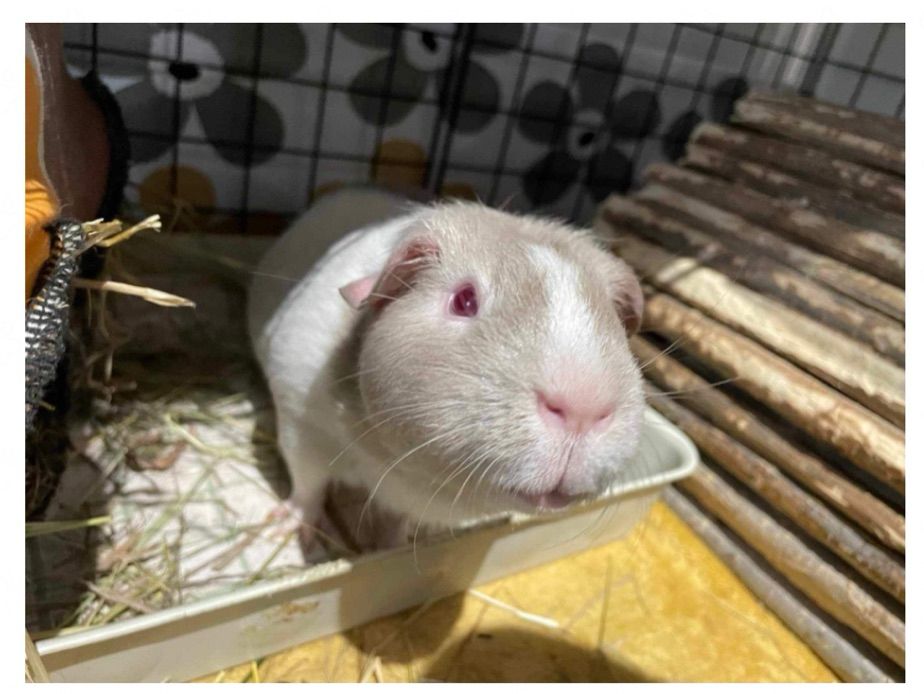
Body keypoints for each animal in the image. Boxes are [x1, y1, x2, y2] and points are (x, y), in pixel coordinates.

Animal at [248, 188, 645, 548]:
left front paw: (393, 547)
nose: (584, 407)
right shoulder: (301, 423)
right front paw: (286, 530)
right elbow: (308, 486)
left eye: (611, 320)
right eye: (464, 300)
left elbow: (397, 522)